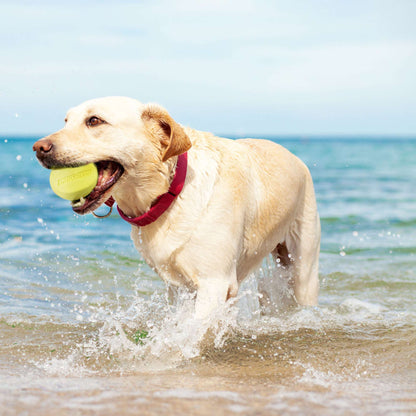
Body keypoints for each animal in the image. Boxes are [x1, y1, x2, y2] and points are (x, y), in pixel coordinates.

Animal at [33, 97, 322, 318]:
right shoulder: (178, 288)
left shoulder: (214, 283)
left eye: (94, 121)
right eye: (66, 121)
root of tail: (295, 156)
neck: (170, 192)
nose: (38, 147)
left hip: (303, 269)